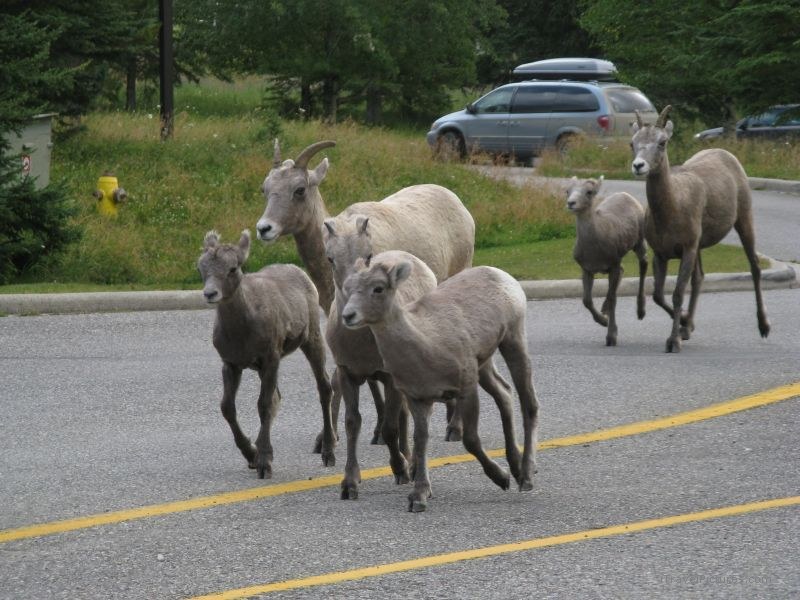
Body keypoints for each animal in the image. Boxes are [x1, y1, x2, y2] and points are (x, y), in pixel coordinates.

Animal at [197, 229, 335, 478]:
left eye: (233, 268)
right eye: (201, 268)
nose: (210, 293)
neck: (242, 331)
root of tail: (299, 271)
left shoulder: (271, 359)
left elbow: (263, 405)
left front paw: (263, 463)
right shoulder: (231, 364)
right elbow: (227, 408)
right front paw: (251, 455)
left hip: (312, 340)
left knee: (324, 388)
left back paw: (328, 453)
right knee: (277, 398)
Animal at [325, 250, 438, 499]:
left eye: (378, 289)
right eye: (347, 287)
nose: (349, 315)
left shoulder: (389, 377)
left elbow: (389, 428)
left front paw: (400, 469)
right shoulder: (347, 373)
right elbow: (352, 422)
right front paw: (349, 483)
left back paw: (413, 467)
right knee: (405, 414)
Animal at [341, 254, 540, 512]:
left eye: (378, 288)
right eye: (347, 289)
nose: (348, 316)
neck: (426, 343)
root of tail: (500, 274)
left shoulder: (466, 388)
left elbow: (470, 440)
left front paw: (501, 478)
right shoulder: (418, 398)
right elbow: (420, 441)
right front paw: (419, 496)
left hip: (513, 340)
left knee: (529, 403)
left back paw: (525, 476)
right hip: (484, 364)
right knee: (505, 393)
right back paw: (515, 467)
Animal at [566, 175, 647, 346]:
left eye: (589, 192)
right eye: (567, 191)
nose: (571, 203)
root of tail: (627, 195)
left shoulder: (613, 265)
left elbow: (612, 298)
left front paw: (611, 336)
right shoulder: (587, 270)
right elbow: (587, 301)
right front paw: (603, 320)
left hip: (639, 243)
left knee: (643, 264)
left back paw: (640, 311)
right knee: (622, 274)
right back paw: (604, 309)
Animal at [631, 105, 770, 352]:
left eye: (662, 142)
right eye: (633, 143)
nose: (639, 166)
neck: (671, 210)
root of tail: (726, 154)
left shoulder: (687, 249)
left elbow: (677, 293)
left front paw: (673, 342)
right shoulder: (661, 254)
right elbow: (658, 295)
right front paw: (685, 324)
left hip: (744, 219)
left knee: (755, 267)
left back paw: (764, 328)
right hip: (700, 246)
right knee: (699, 278)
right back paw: (687, 328)